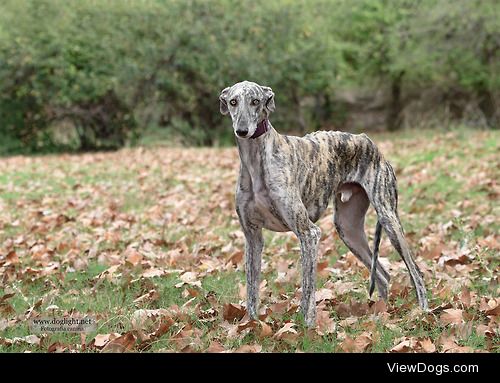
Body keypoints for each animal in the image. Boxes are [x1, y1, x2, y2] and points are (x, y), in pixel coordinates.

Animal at [220, 80, 430, 328]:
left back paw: (423, 312)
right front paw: (251, 325)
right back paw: (381, 314)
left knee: (416, 271)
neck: (255, 162)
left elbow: (308, 290)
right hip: (348, 229)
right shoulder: (252, 236)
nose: (242, 131)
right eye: (233, 101)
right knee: (383, 275)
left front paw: (307, 327)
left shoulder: (308, 233)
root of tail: (368, 141)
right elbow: (252, 290)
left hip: (388, 218)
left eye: (255, 101)